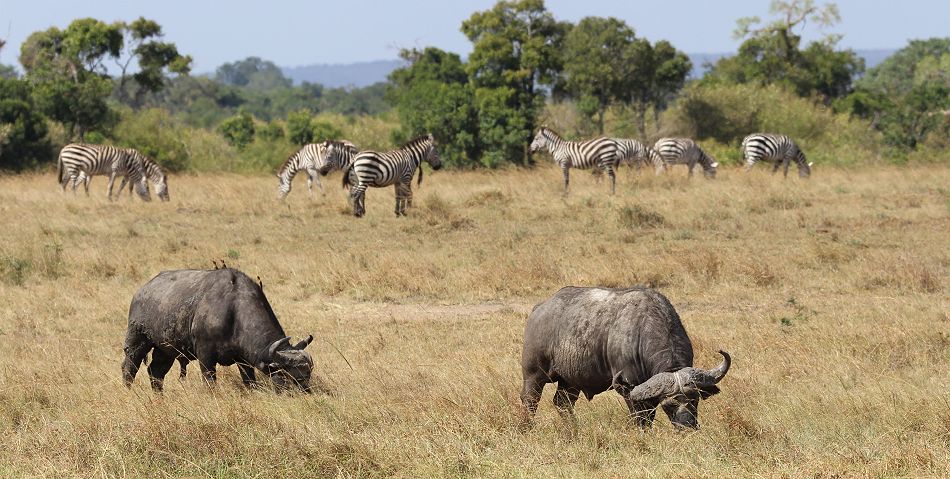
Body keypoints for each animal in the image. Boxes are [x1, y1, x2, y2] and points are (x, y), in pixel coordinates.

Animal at [121, 268, 316, 392]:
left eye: (308, 375)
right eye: (292, 378)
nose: (306, 392)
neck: (233, 310)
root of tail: (141, 291)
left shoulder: (243, 361)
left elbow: (249, 382)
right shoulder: (205, 356)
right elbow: (210, 383)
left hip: (166, 350)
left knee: (156, 372)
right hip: (137, 341)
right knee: (129, 368)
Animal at [520, 286, 736, 430]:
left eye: (695, 400)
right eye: (669, 405)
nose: (688, 426)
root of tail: (539, 309)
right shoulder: (629, 389)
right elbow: (641, 419)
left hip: (570, 381)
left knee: (563, 403)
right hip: (533, 375)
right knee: (530, 400)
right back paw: (528, 428)